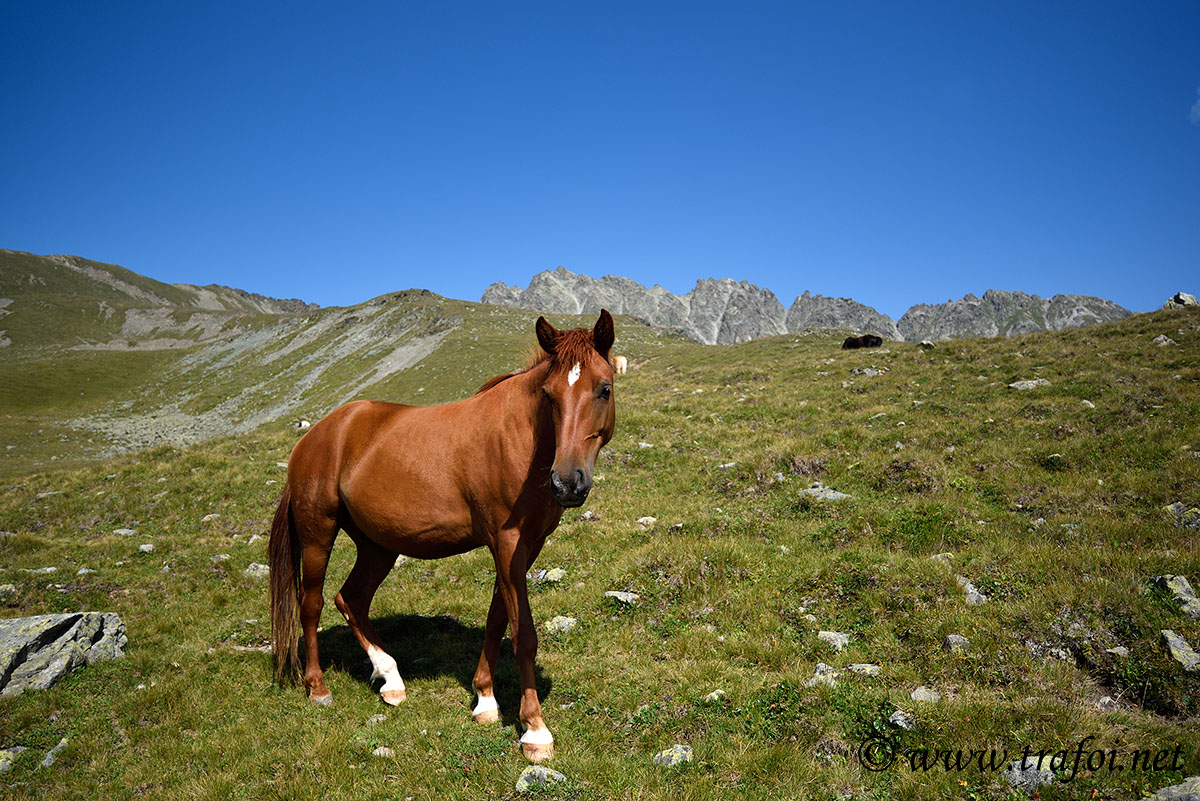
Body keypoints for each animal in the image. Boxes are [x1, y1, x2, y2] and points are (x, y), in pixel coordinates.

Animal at [267, 309, 614, 762]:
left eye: (604, 389)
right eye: (549, 394)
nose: (568, 482)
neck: (522, 440)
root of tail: (315, 436)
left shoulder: (524, 546)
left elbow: (497, 618)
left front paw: (485, 700)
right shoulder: (507, 543)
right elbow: (522, 634)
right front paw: (534, 729)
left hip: (377, 546)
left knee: (352, 599)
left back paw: (391, 679)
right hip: (317, 533)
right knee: (312, 604)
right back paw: (318, 688)